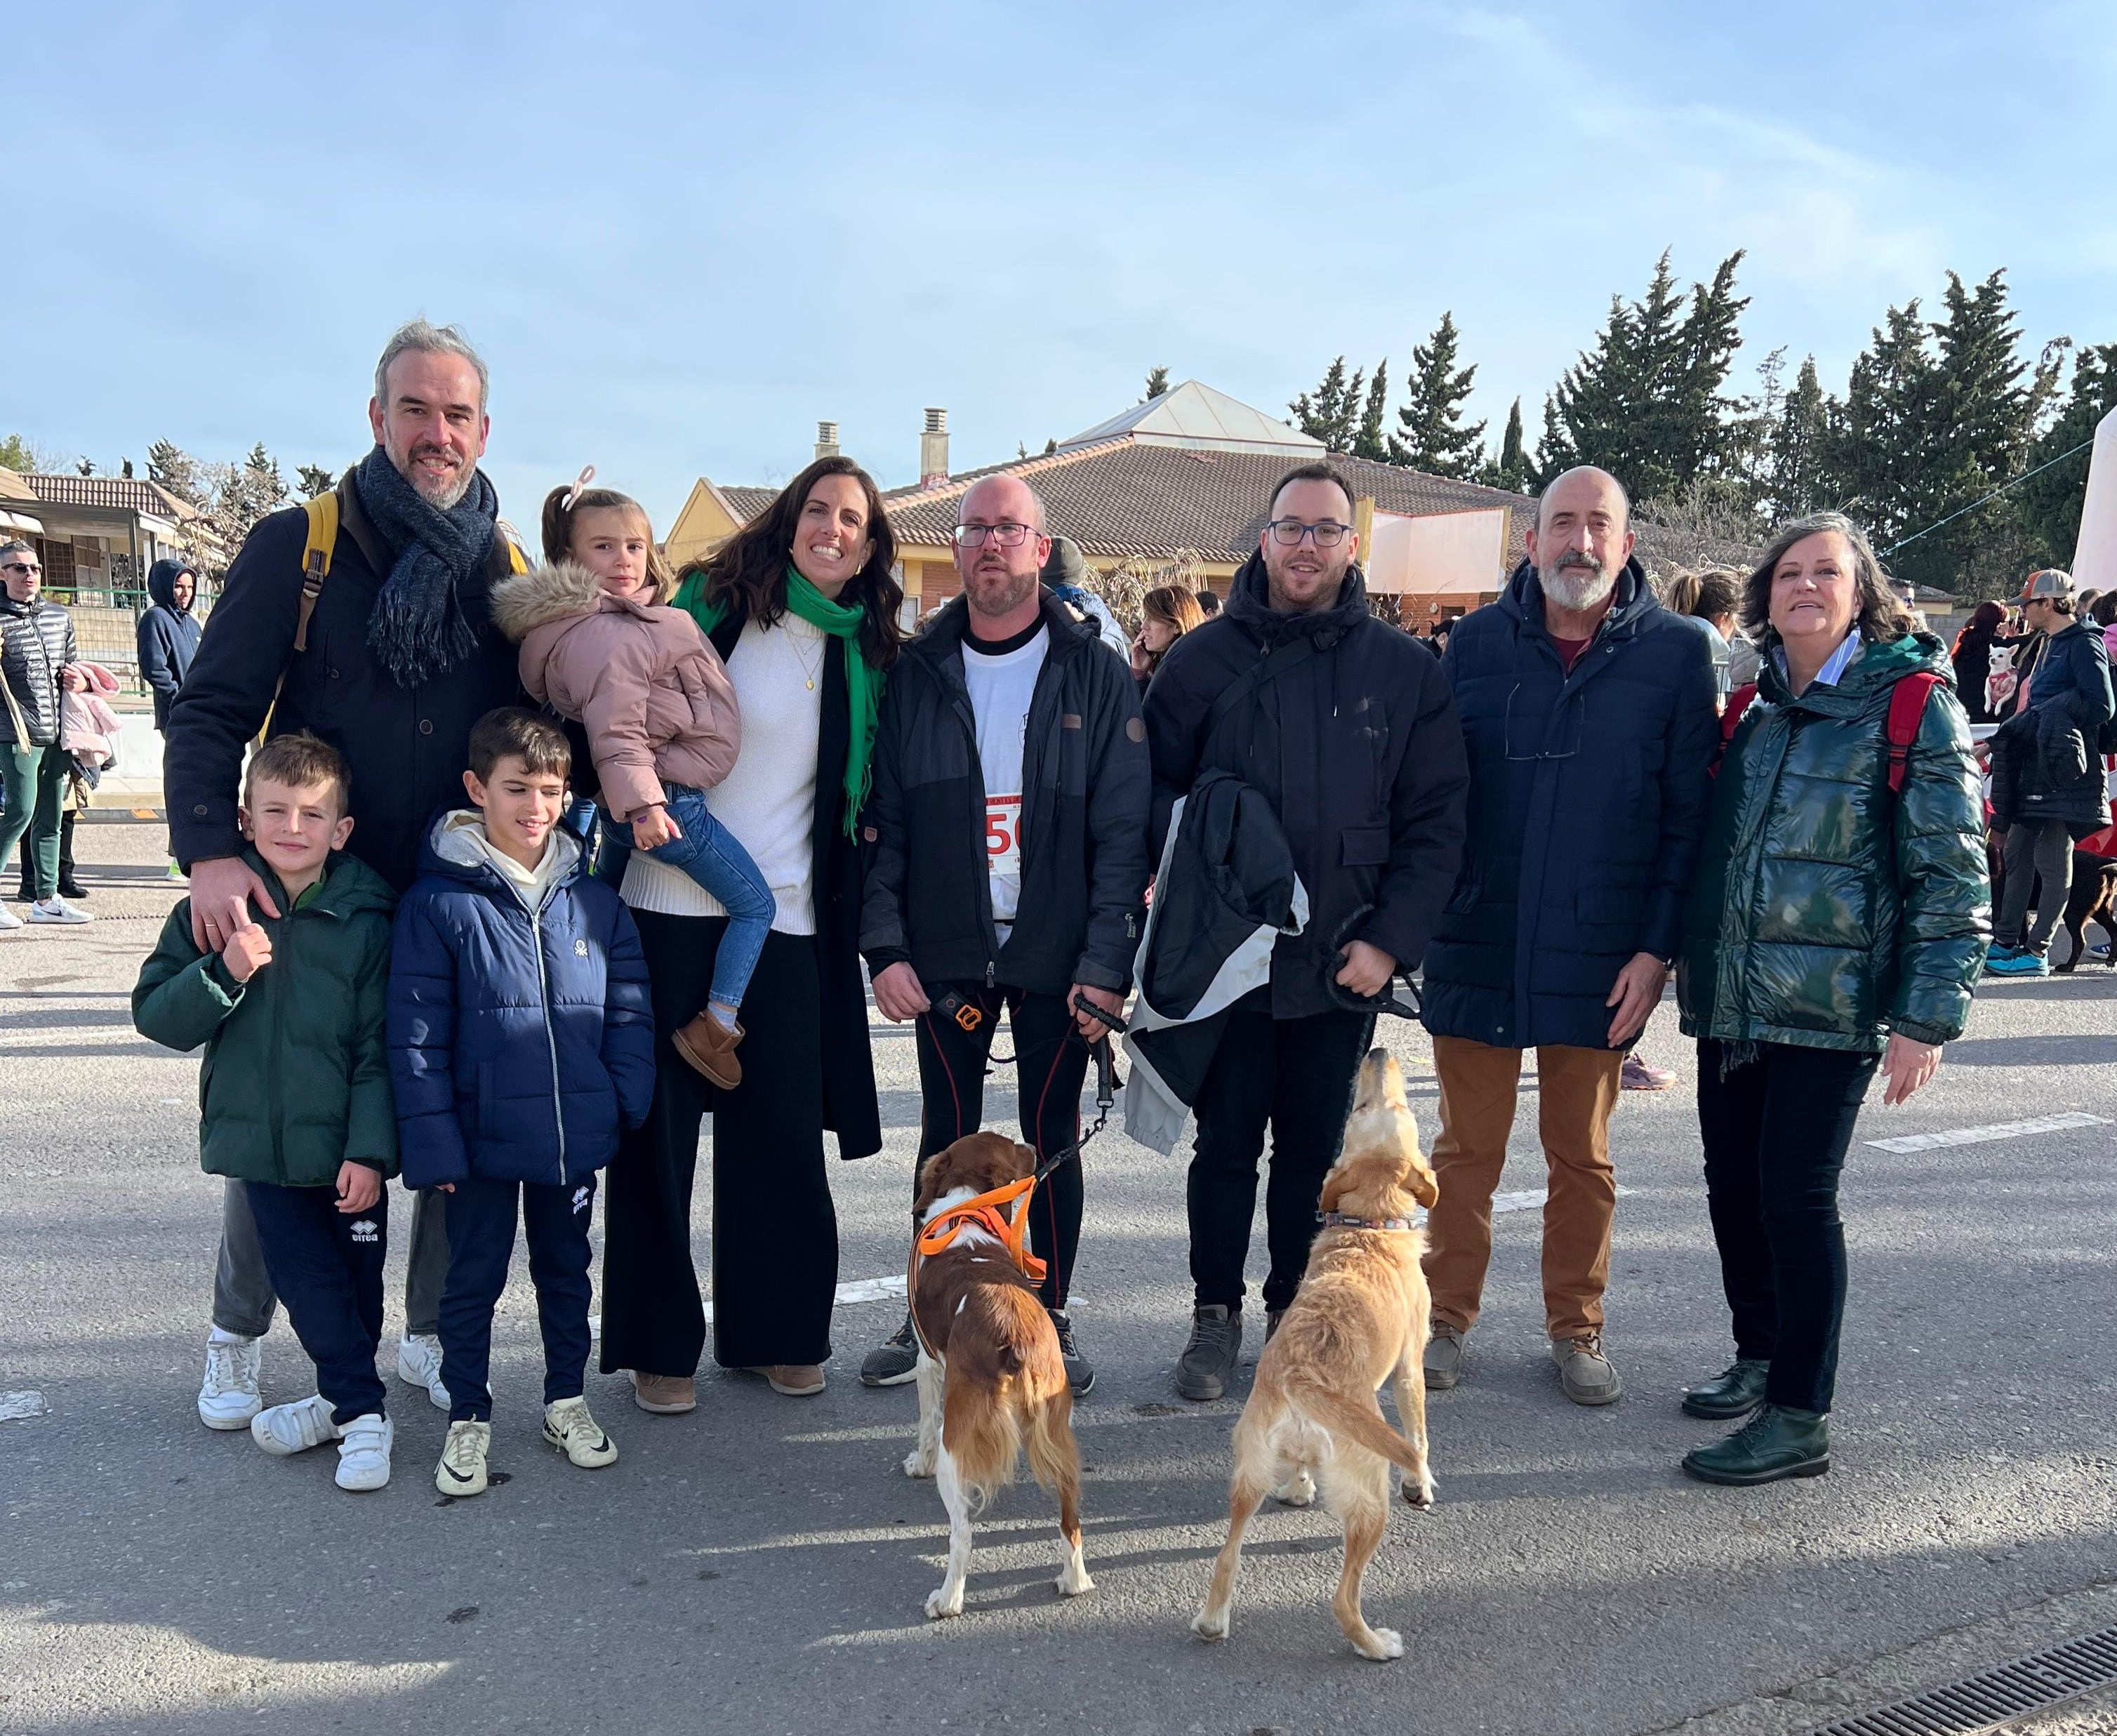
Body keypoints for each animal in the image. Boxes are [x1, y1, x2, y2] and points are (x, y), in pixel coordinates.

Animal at [897, 1134, 1092, 1617]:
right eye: (1013, 1149)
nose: (1034, 1147)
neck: (966, 1209)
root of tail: (1015, 1337)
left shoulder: (928, 1365)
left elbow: (924, 1425)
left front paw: (917, 1465)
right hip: (1058, 1433)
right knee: (1070, 1515)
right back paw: (1074, 1580)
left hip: (958, 1441)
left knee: (963, 1533)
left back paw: (947, 1600)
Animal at [1194, 1049, 1439, 1659]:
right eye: (1368, 1107)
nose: (1377, 1051)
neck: (1369, 1225)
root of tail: (1303, 1375)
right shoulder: (1410, 1368)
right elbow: (1421, 1432)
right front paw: (1423, 1484)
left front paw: (1301, 1488)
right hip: (1371, 1497)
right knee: (1343, 1599)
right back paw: (1375, 1643)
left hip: (1247, 1477)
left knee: (1227, 1557)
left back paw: (1212, 1619)